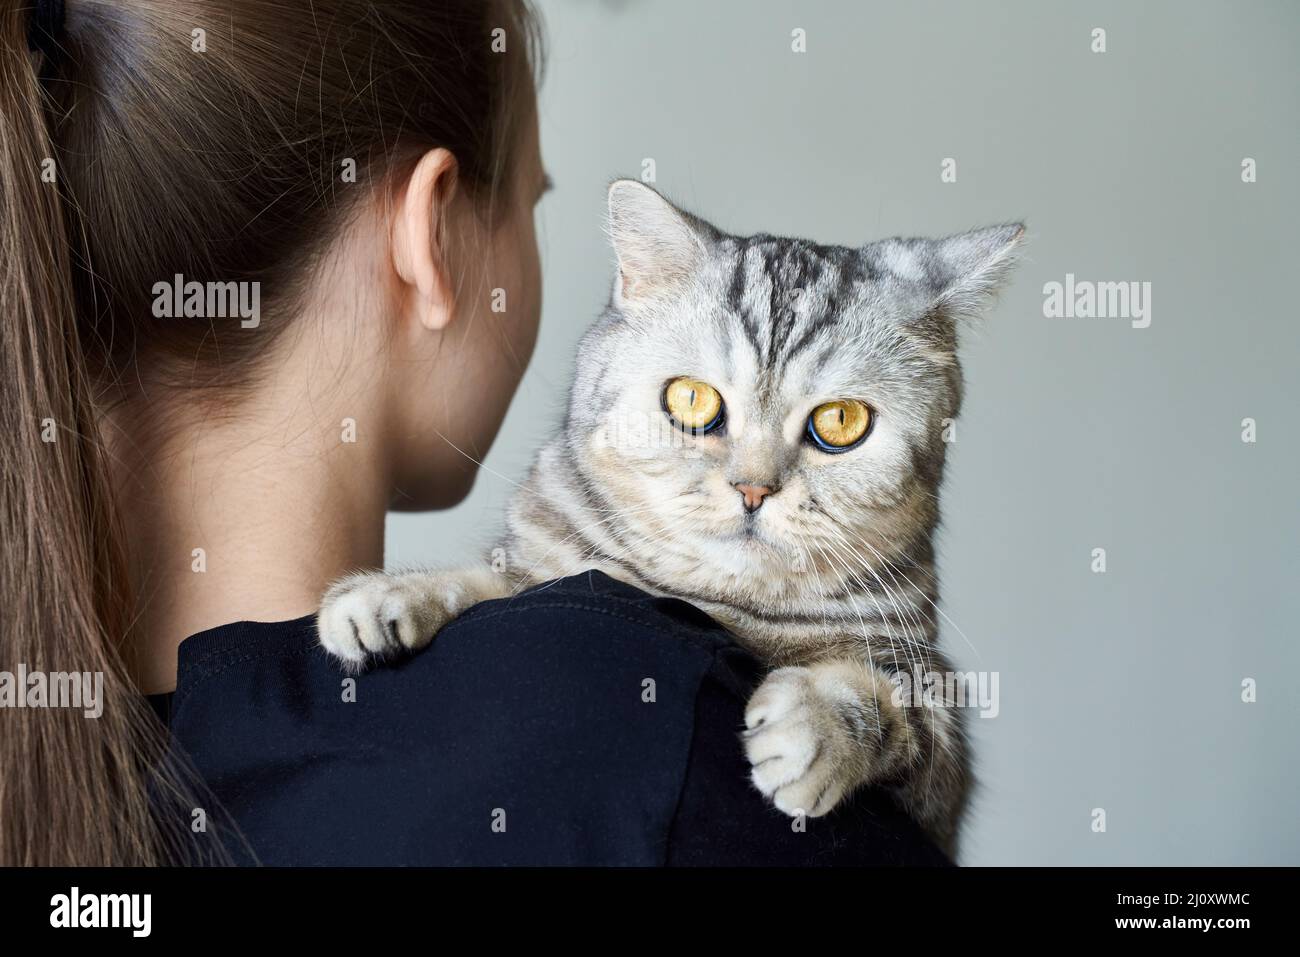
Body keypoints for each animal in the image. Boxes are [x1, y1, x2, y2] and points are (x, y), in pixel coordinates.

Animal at [317, 179, 1024, 852]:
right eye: (691, 399)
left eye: (841, 421)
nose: (753, 489)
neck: (711, 597)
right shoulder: (544, 561)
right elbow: (494, 579)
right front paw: (389, 594)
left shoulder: (937, 736)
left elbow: (891, 701)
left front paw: (812, 729)